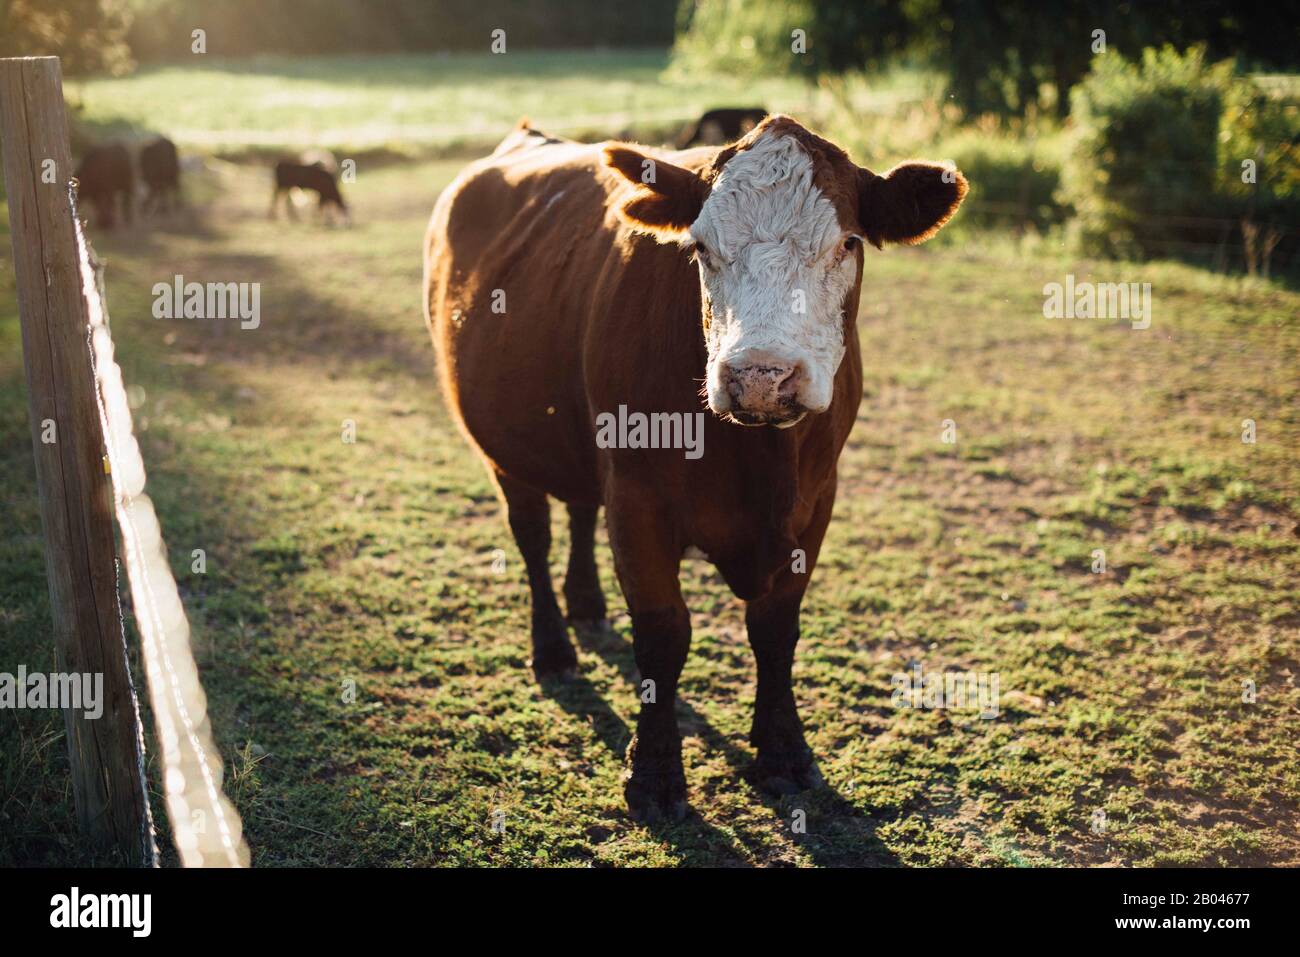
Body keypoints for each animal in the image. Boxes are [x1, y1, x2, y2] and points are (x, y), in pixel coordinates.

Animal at [426, 115, 967, 821]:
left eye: (848, 243)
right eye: (702, 248)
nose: (762, 376)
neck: (759, 463)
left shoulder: (817, 500)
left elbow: (775, 629)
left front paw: (783, 751)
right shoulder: (638, 499)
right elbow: (664, 635)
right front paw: (654, 777)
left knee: (578, 510)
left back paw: (587, 605)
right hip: (504, 444)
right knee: (533, 537)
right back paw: (554, 648)